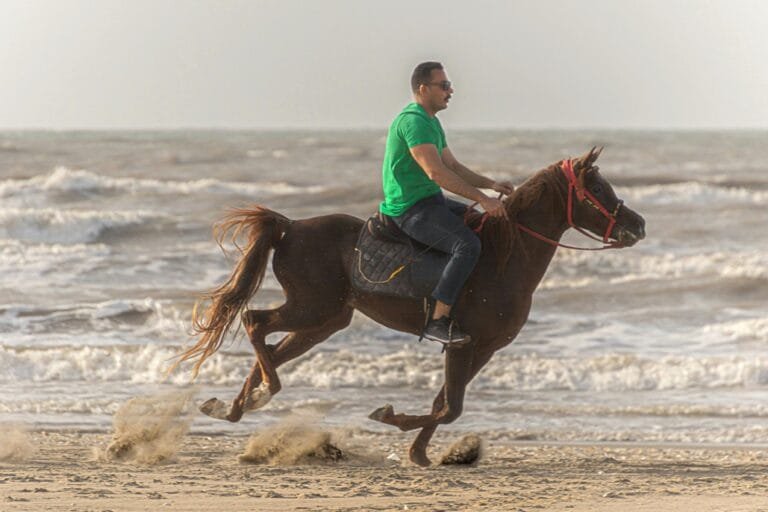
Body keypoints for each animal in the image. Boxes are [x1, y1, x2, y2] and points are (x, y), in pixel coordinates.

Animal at [175, 147, 646, 466]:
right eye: (597, 189)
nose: (638, 225)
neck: (504, 256)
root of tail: (290, 227)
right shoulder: (462, 343)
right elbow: (450, 407)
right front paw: (394, 421)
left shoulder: (482, 348)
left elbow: (444, 404)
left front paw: (418, 451)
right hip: (311, 309)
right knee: (255, 323)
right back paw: (260, 396)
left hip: (326, 320)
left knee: (270, 348)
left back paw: (235, 407)